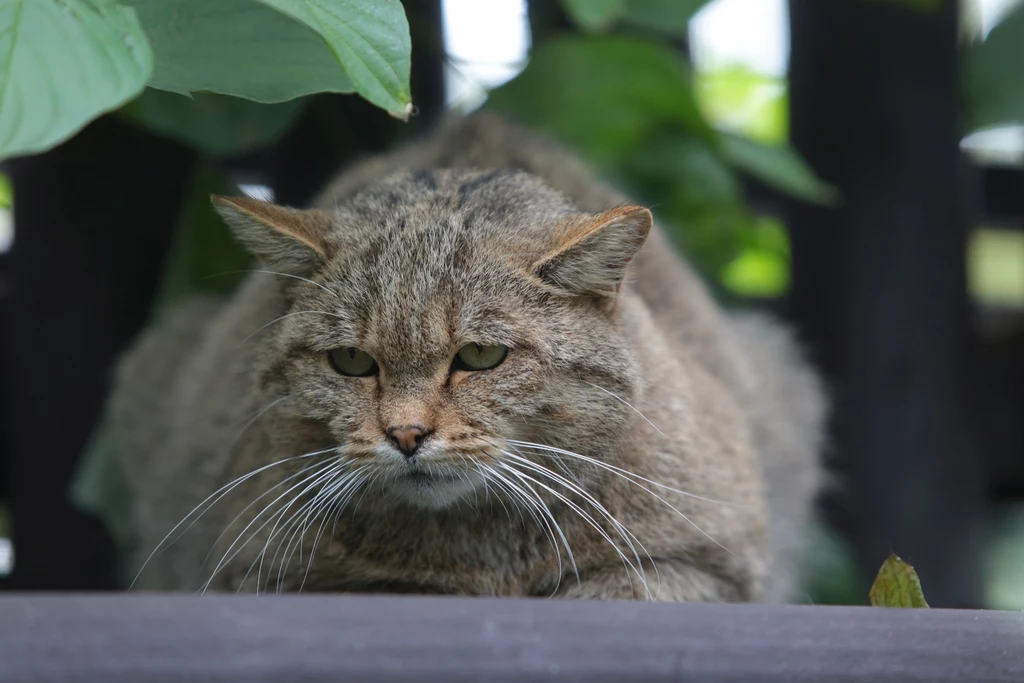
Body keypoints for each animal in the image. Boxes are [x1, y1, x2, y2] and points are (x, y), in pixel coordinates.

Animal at [112, 113, 827, 602]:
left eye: (481, 356)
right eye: (351, 362)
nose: (405, 434)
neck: (479, 552)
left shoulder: (710, 565)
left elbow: (618, 587)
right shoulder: (261, 575)